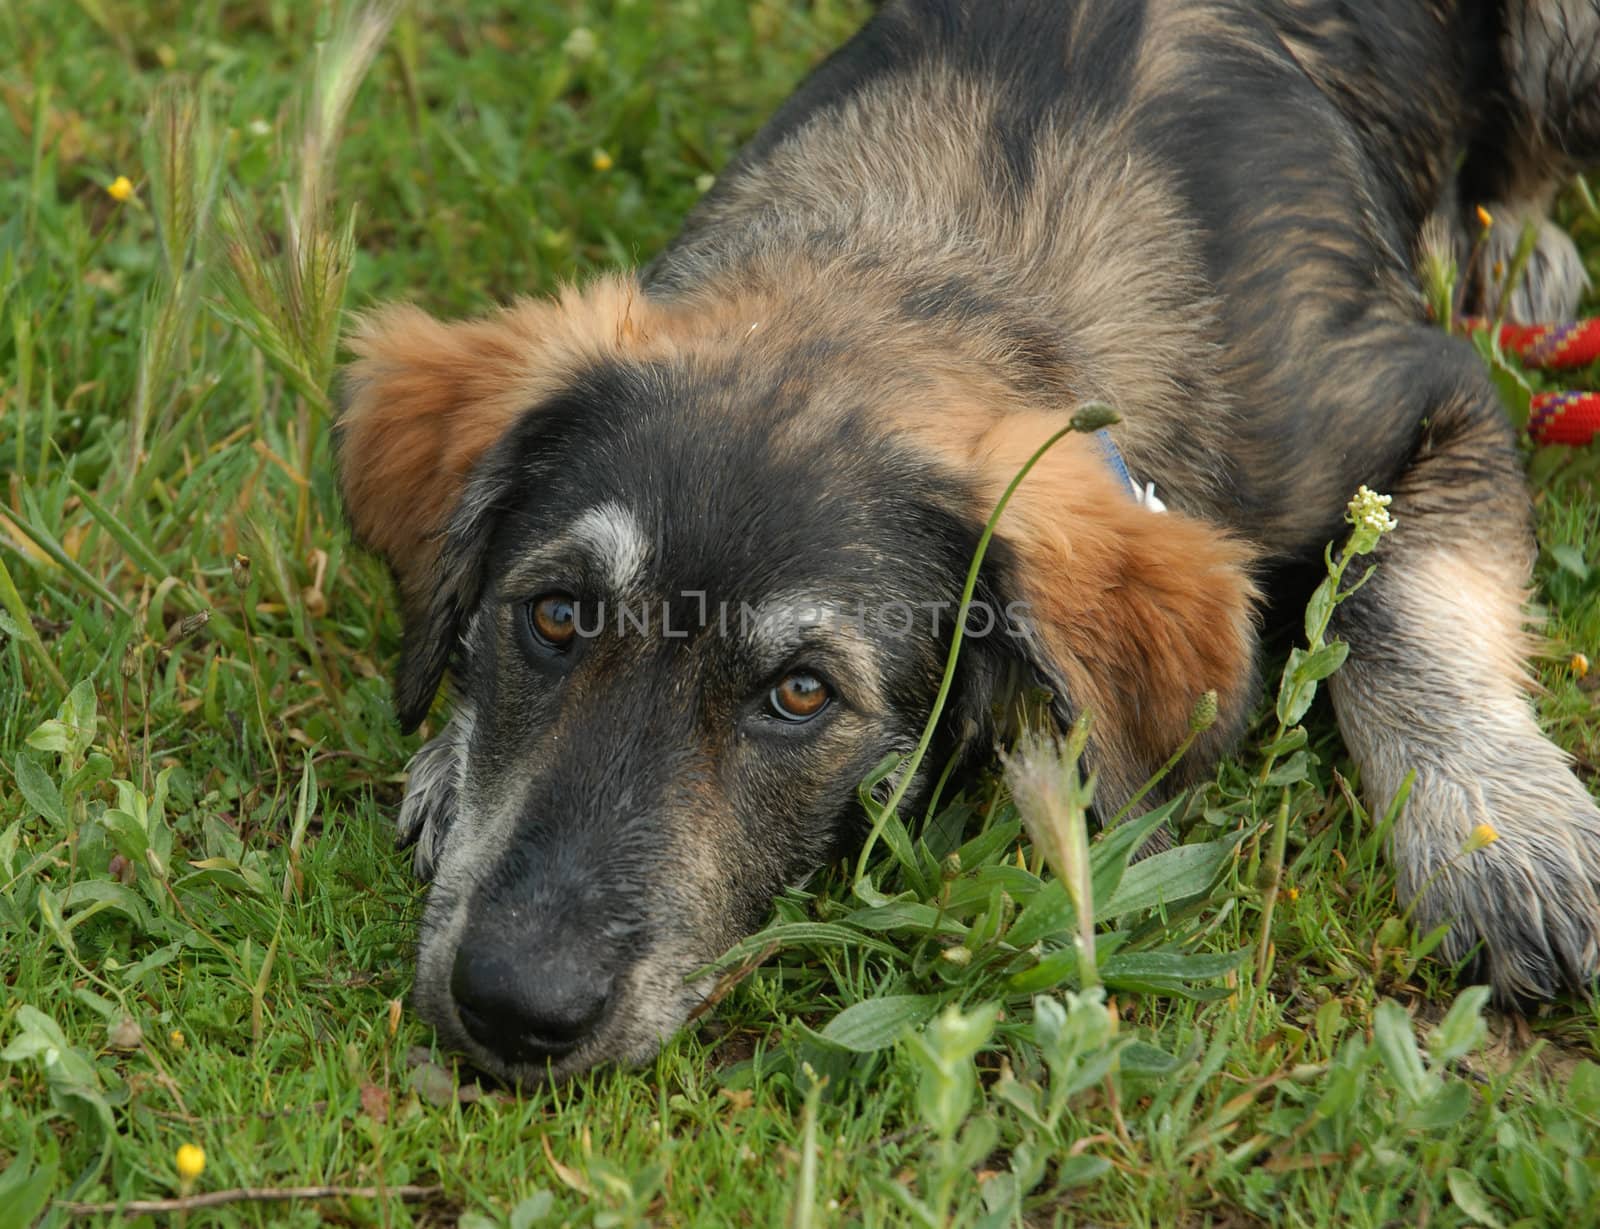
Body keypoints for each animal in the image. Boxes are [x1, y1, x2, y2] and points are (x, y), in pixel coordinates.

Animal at [334, 0, 1600, 1081]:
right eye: (554, 615)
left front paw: (1498, 831)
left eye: (800, 693)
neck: (944, 250)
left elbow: (1404, 607)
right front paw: (453, 753)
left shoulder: (1431, 398)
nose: (512, 1010)